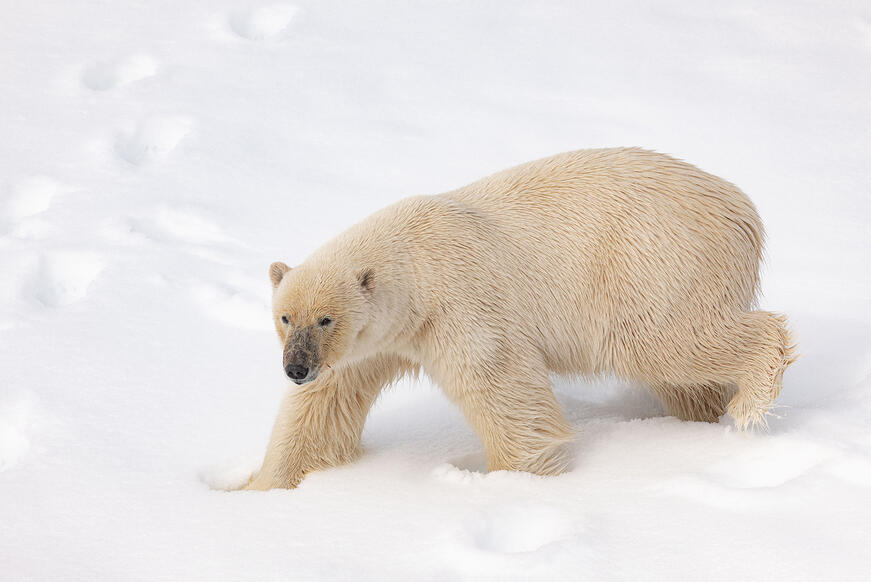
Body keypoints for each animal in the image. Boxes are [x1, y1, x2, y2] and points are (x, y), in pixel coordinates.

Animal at [242, 147, 792, 492]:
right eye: (286, 317)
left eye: (326, 319)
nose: (295, 368)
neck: (415, 262)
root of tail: (743, 212)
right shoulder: (377, 341)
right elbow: (322, 407)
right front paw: (261, 487)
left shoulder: (458, 303)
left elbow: (503, 386)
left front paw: (511, 480)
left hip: (652, 264)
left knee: (665, 343)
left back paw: (750, 401)